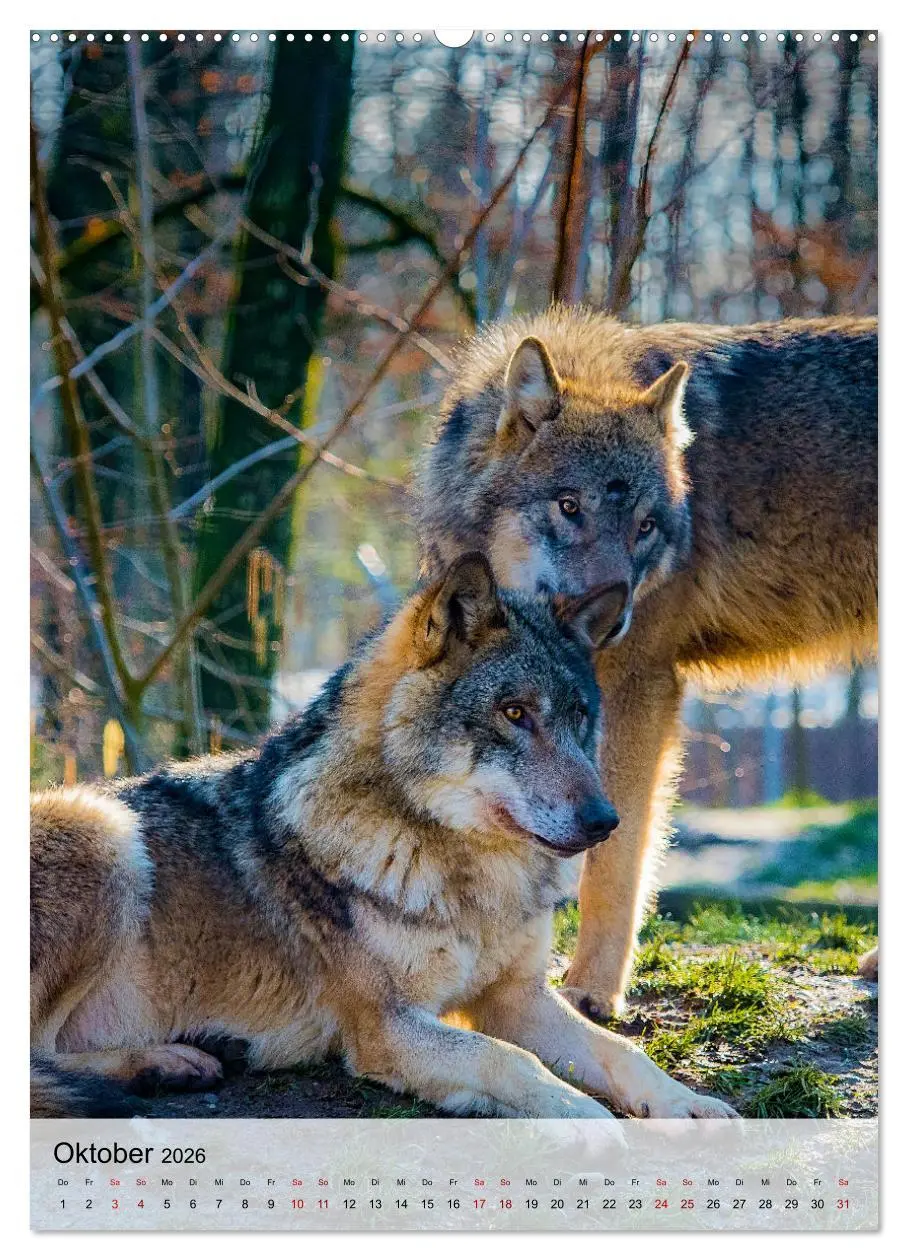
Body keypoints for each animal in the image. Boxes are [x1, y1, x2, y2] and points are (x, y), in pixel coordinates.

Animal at [31, 554, 735, 1121]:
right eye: (515, 713)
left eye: (580, 717)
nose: (604, 821)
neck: (466, 879)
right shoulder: (387, 1027)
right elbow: (508, 1061)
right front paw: (590, 1123)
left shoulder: (517, 996)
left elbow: (621, 1052)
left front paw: (688, 1104)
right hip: (102, 829)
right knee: (39, 1060)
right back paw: (163, 1064)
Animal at [417, 306, 878, 1018]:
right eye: (569, 506)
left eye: (644, 527)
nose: (612, 619)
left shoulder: (640, 684)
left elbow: (612, 858)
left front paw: (590, 991)